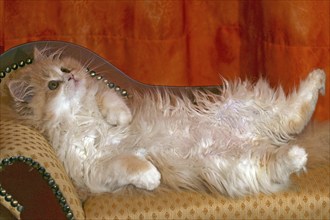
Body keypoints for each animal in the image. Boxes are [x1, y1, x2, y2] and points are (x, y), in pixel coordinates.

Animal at [3, 48, 328, 199]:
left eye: (65, 69)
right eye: (53, 85)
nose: (71, 77)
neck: (80, 118)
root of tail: (257, 138)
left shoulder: (104, 93)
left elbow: (108, 99)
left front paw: (119, 119)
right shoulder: (90, 169)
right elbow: (128, 163)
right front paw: (151, 177)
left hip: (244, 105)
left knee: (293, 117)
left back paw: (317, 78)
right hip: (235, 166)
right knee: (281, 152)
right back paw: (296, 154)